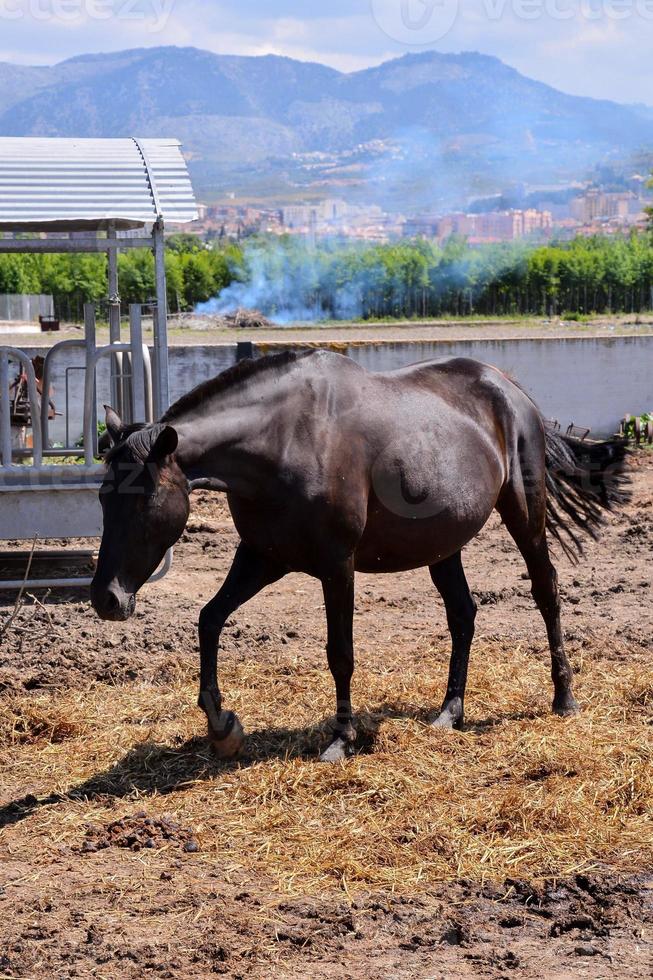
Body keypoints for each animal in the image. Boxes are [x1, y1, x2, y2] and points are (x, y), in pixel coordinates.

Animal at [91, 352, 628, 764]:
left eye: (144, 503)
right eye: (101, 497)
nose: (106, 599)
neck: (283, 440)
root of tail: (510, 389)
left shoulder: (337, 566)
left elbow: (340, 653)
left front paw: (341, 739)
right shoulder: (263, 557)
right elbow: (209, 620)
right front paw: (223, 727)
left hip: (524, 515)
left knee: (546, 591)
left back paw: (564, 698)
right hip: (443, 545)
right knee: (463, 615)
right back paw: (449, 712)